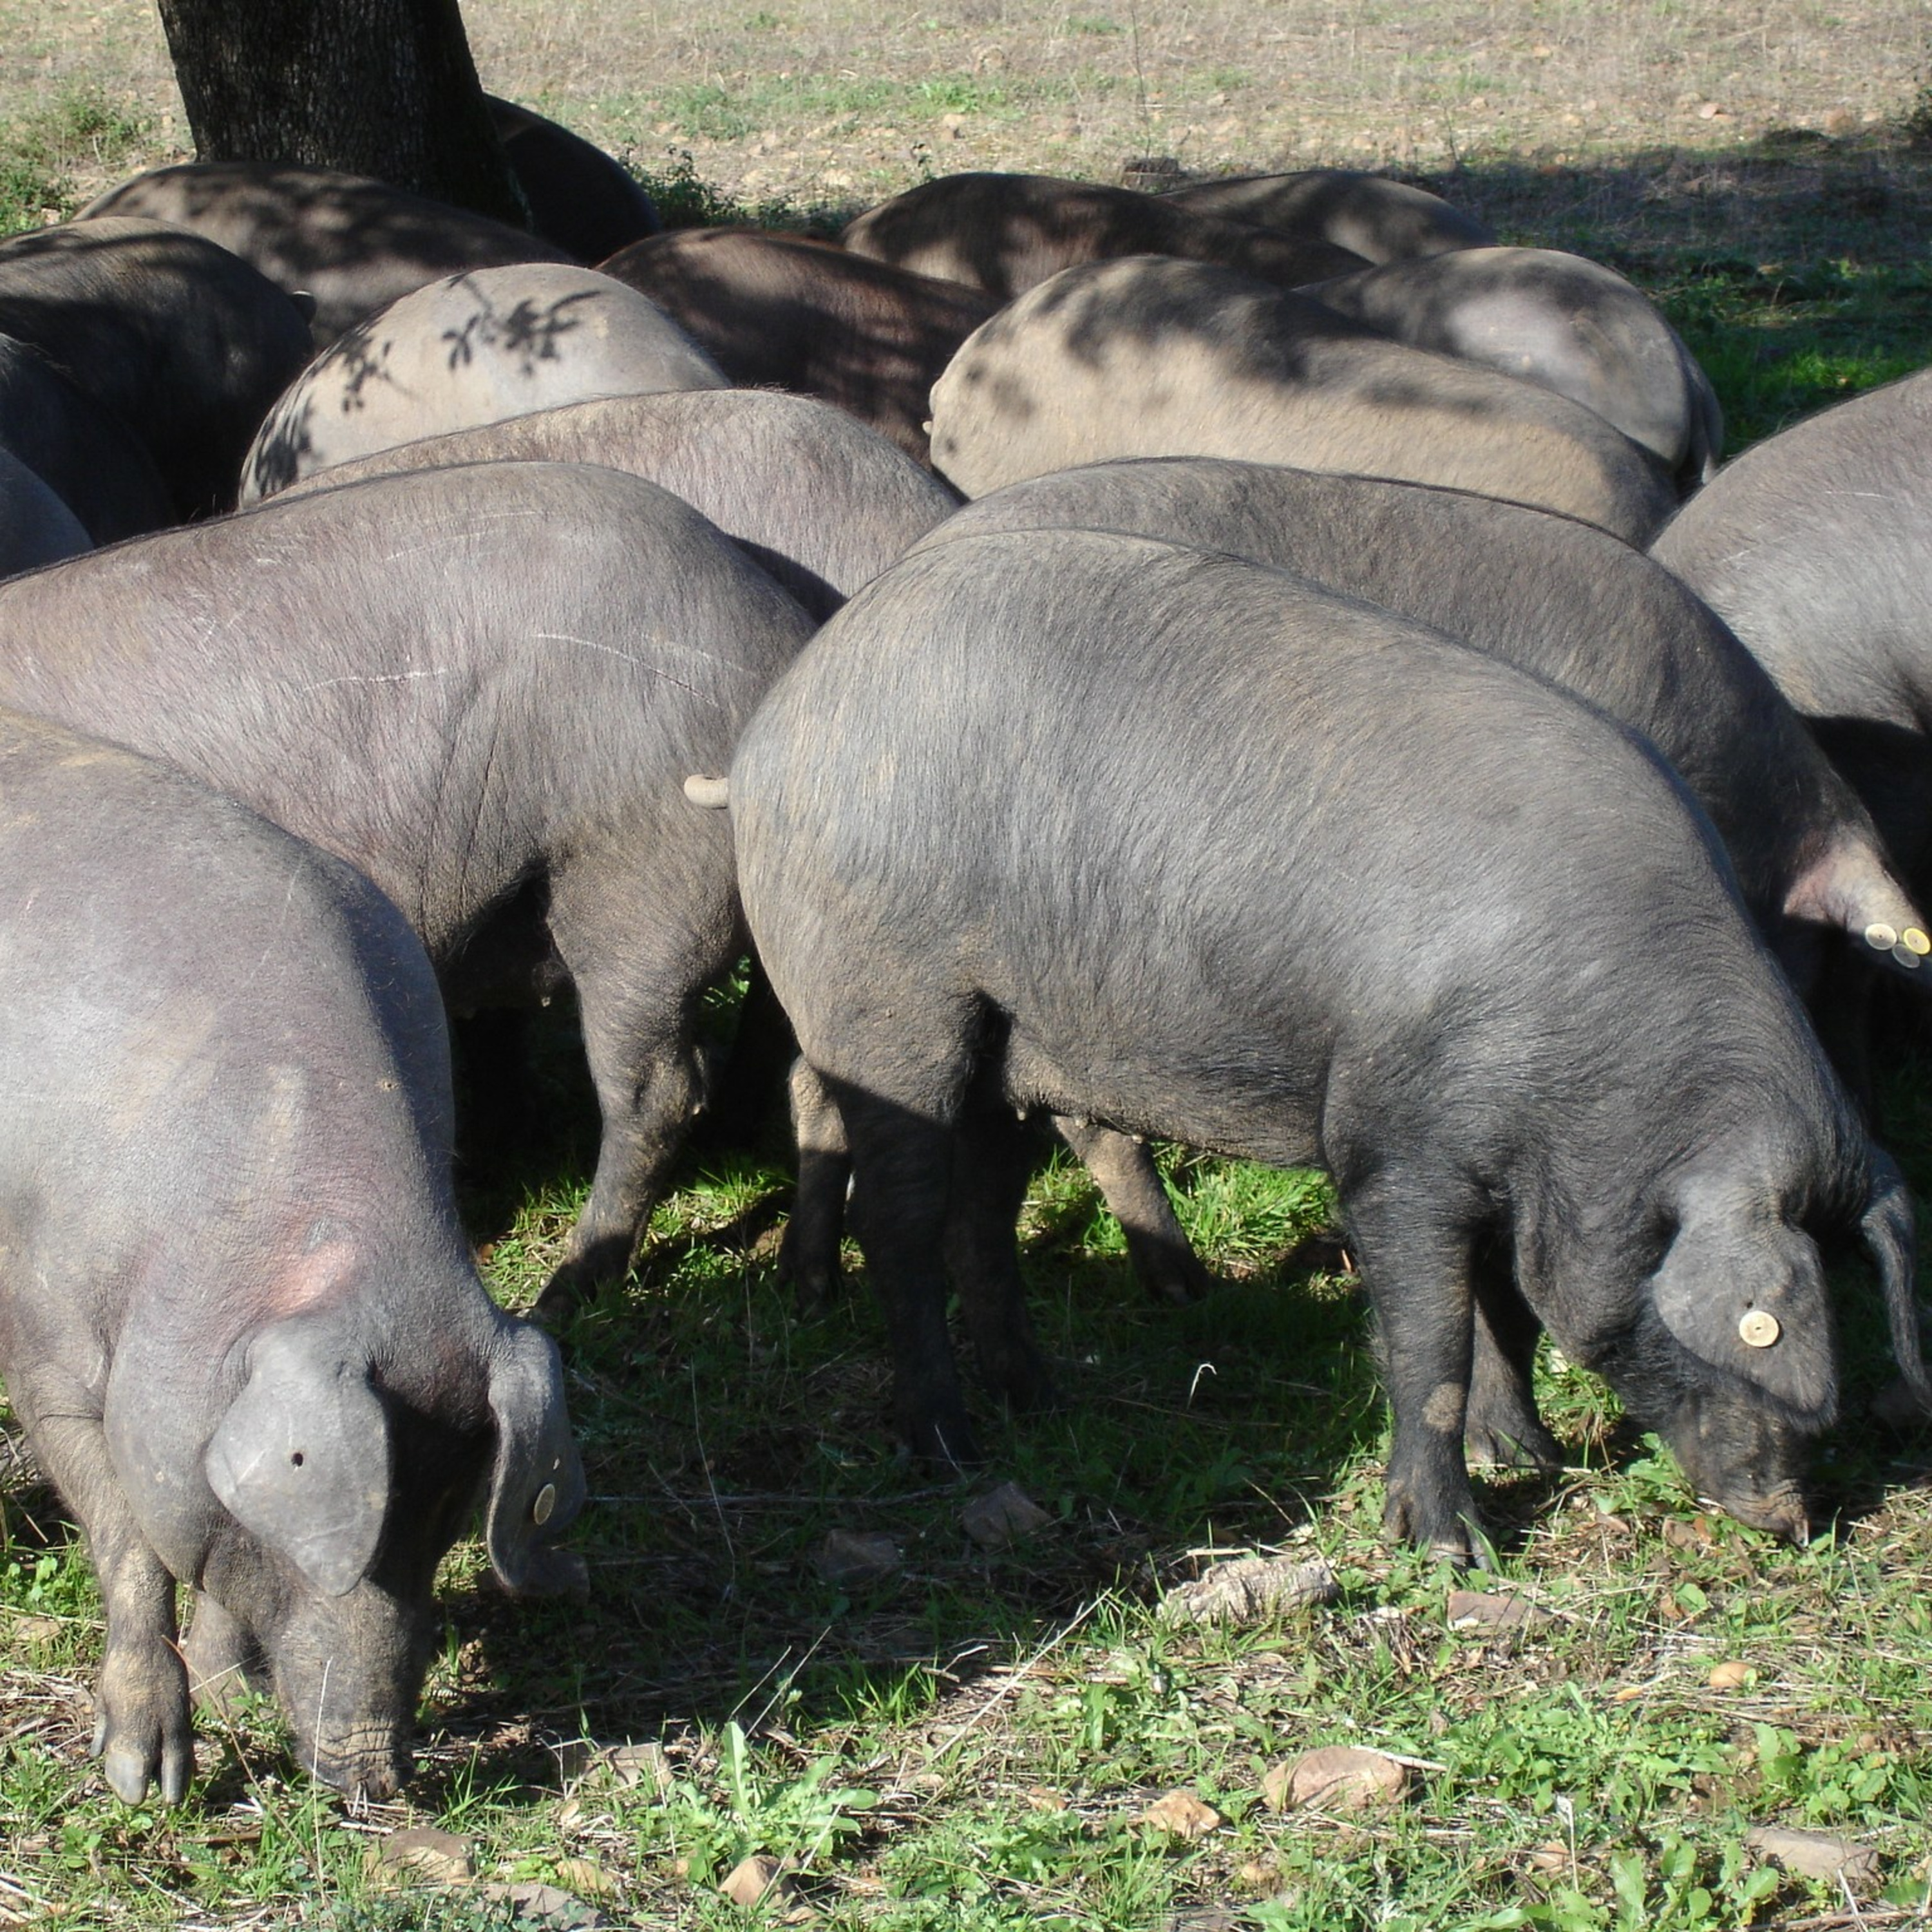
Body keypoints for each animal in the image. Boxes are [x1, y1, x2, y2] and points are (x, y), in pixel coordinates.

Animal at [0, 707, 582, 1804]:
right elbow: (128, 1545)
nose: (379, 1774)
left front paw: (233, 1703)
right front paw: (147, 1785)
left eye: (450, 1519)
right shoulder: (46, 1352)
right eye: (334, 1544)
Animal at [728, 529, 1927, 1557]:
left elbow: (1506, 1306)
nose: (1789, 1517)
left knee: (984, 1210)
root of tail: (777, 721)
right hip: (883, 1006)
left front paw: (1527, 1454)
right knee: (902, 1220)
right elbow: (1432, 1330)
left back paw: (1040, 1400)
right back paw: (948, 1442)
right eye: (1767, 1336)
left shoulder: (1510, 1167)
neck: (1601, 1086)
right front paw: (1452, 1545)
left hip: (1008, 1042)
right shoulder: (1391, 1143)